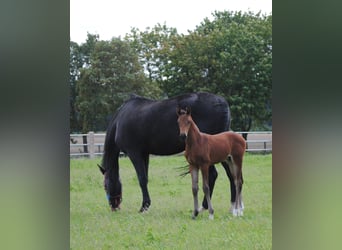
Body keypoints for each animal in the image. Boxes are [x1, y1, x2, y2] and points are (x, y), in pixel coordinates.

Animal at [97, 92, 235, 213]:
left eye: (105, 186)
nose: (114, 207)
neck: (119, 120)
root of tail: (222, 103)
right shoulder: (144, 154)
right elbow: (145, 178)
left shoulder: (134, 153)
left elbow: (141, 179)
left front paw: (144, 207)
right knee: (230, 174)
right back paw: (232, 206)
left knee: (213, 175)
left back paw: (204, 206)